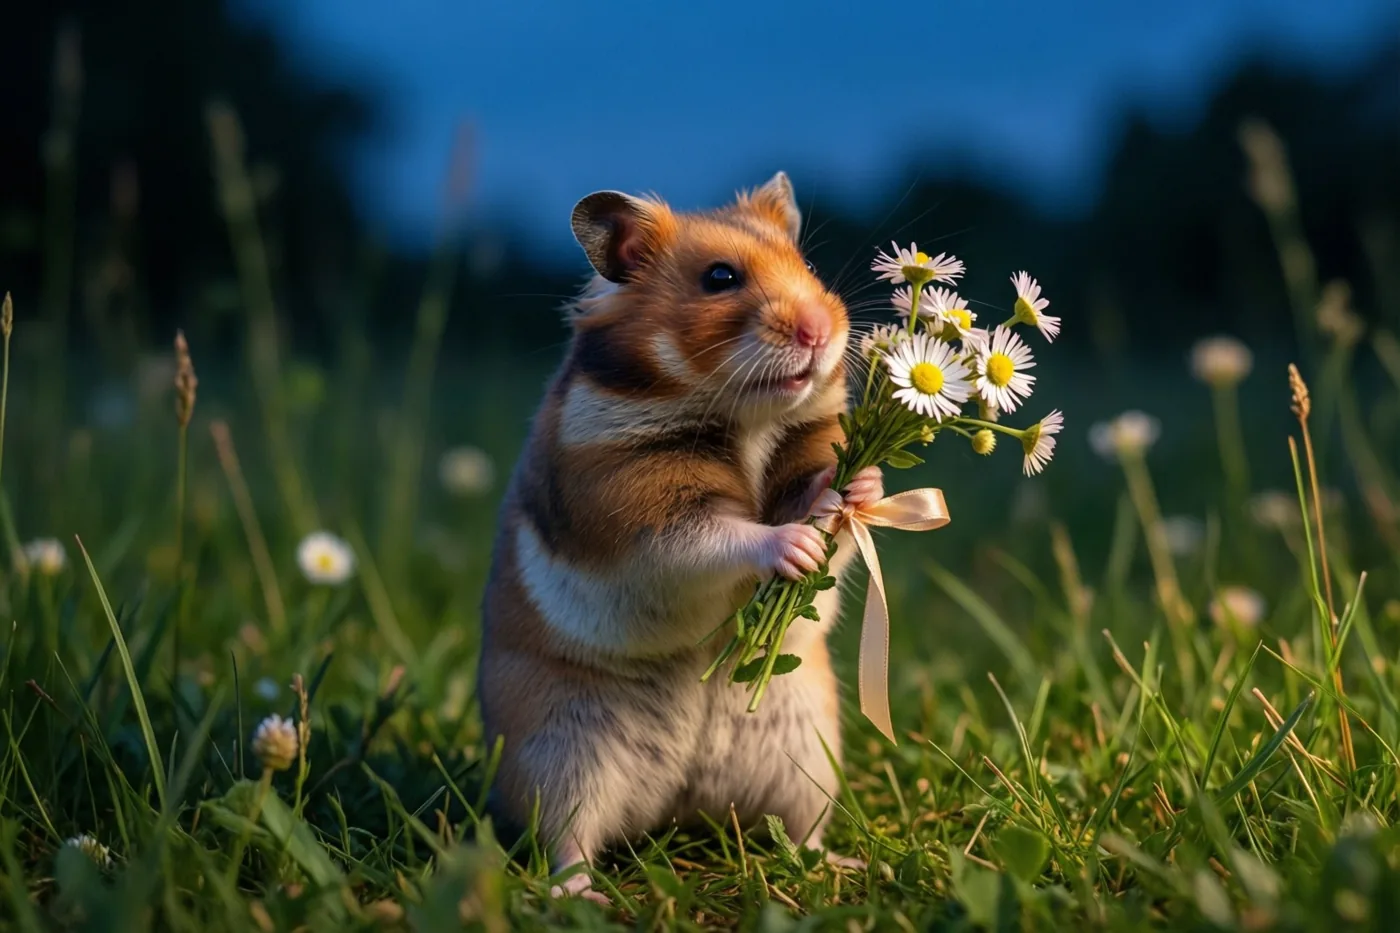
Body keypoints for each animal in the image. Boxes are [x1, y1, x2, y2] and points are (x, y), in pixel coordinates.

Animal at [477, 172, 882, 901]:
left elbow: (822, 504)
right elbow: (717, 536)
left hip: (809, 753)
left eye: (806, 265)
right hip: (560, 755)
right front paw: (796, 547)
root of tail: (679, 803)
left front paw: (861, 488)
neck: (747, 416)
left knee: (801, 830)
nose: (818, 330)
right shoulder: (639, 513)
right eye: (719, 278)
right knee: (568, 841)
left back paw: (843, 864)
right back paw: (580, 895)